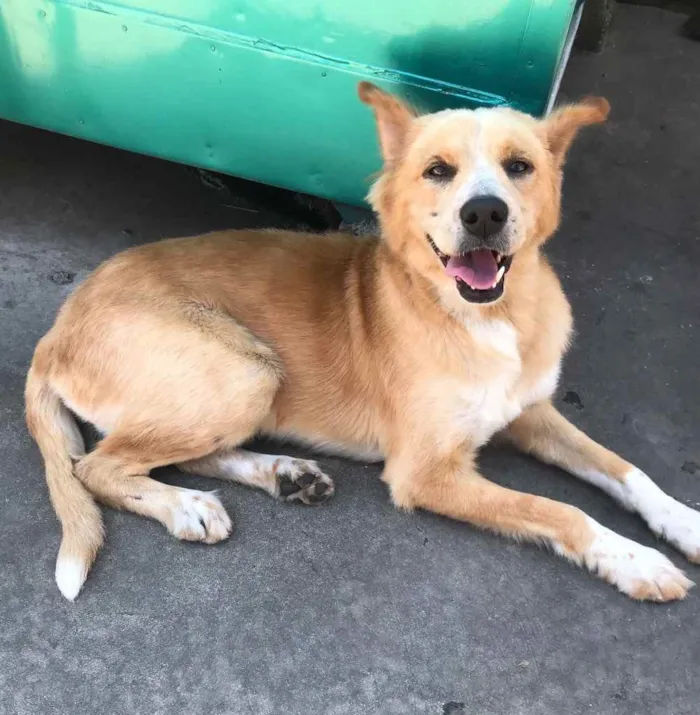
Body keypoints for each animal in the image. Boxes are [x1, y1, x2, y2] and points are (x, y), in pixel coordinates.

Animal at [24, 81, 696, 600]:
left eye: (520, 167)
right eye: (437, 171)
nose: (484, 213)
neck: (487, 317)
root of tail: (56, 329)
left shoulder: (530, 412)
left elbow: (625, 469)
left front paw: (685, 522)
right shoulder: (425, 473)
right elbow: (558, 509)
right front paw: (635, 561)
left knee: (172, 452)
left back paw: (283, 474)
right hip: (246, 370)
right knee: (96, 465)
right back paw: (186, 505)